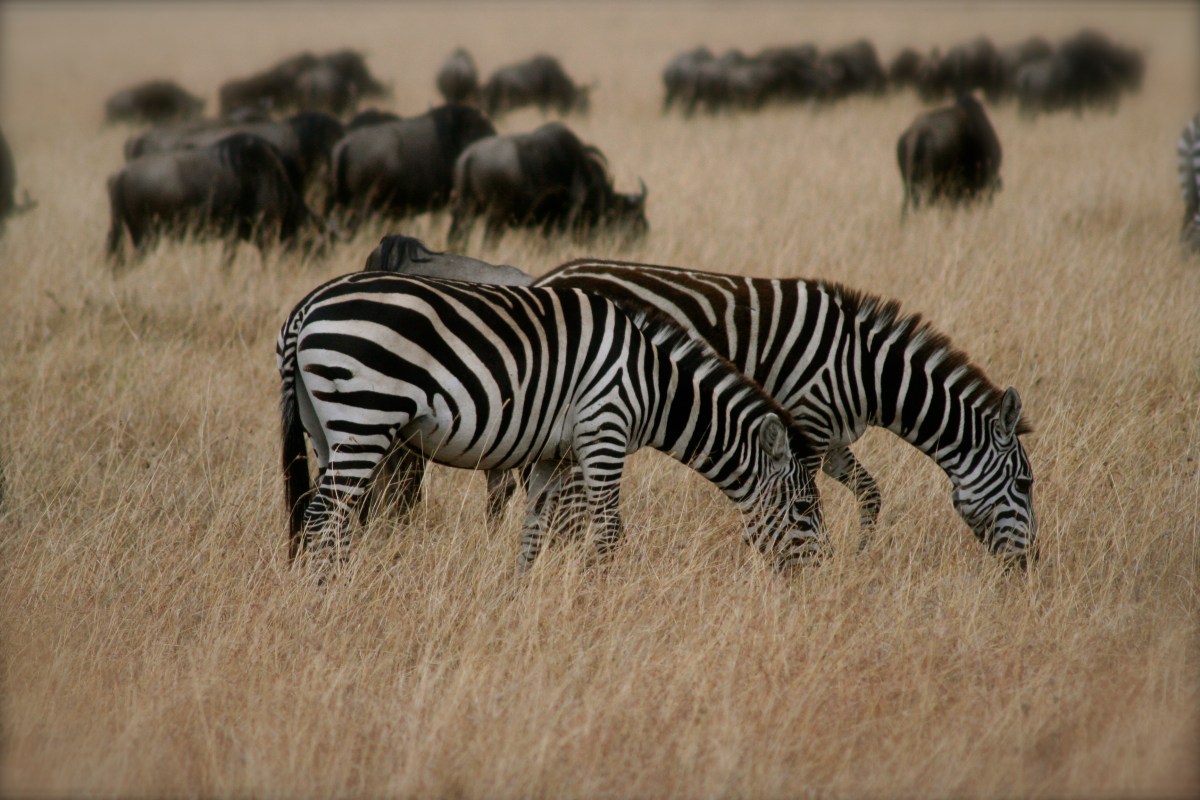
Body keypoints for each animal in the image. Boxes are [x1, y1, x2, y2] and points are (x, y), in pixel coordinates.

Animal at [278, 272, 825, 572]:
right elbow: (607, 532)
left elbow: (535, 531)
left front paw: (519, 602)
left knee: (330, 518)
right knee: (324, 516)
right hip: (365, 416)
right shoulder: (604, 431)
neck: (654, 385)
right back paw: (326, 598)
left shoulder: (553, 455)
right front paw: (600, 607)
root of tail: (307, 307)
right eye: (803, 508)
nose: (824, 574)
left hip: (326, 428)